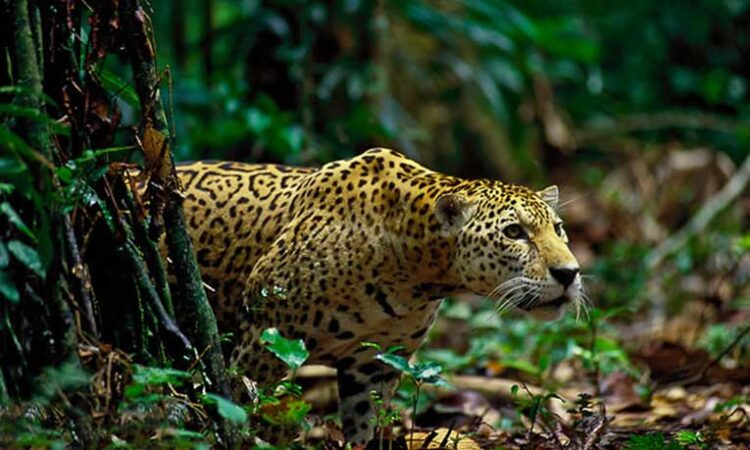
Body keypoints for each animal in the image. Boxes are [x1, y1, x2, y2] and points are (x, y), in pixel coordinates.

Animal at [174, 147, 582, 445]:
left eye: (558, 228)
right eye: (514, 232)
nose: (569, 273)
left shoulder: (375, 363)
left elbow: (365, 426)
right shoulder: (265, 341)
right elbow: (250, 414)